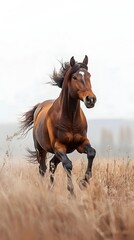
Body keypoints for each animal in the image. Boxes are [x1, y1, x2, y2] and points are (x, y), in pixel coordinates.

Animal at [20, 56, 96, 195]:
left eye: (89, 75)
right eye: (74, 77)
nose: (91, 99)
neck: (70, 118)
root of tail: (39, 107)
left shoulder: (81, 143)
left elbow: (91, 153)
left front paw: (84, 183)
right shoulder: (59, 146)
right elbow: (68, 164)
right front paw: (71, 192)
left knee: (52, 164)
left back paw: (50, 188)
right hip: (41, 149)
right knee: (43, 168)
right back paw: (44, 189)